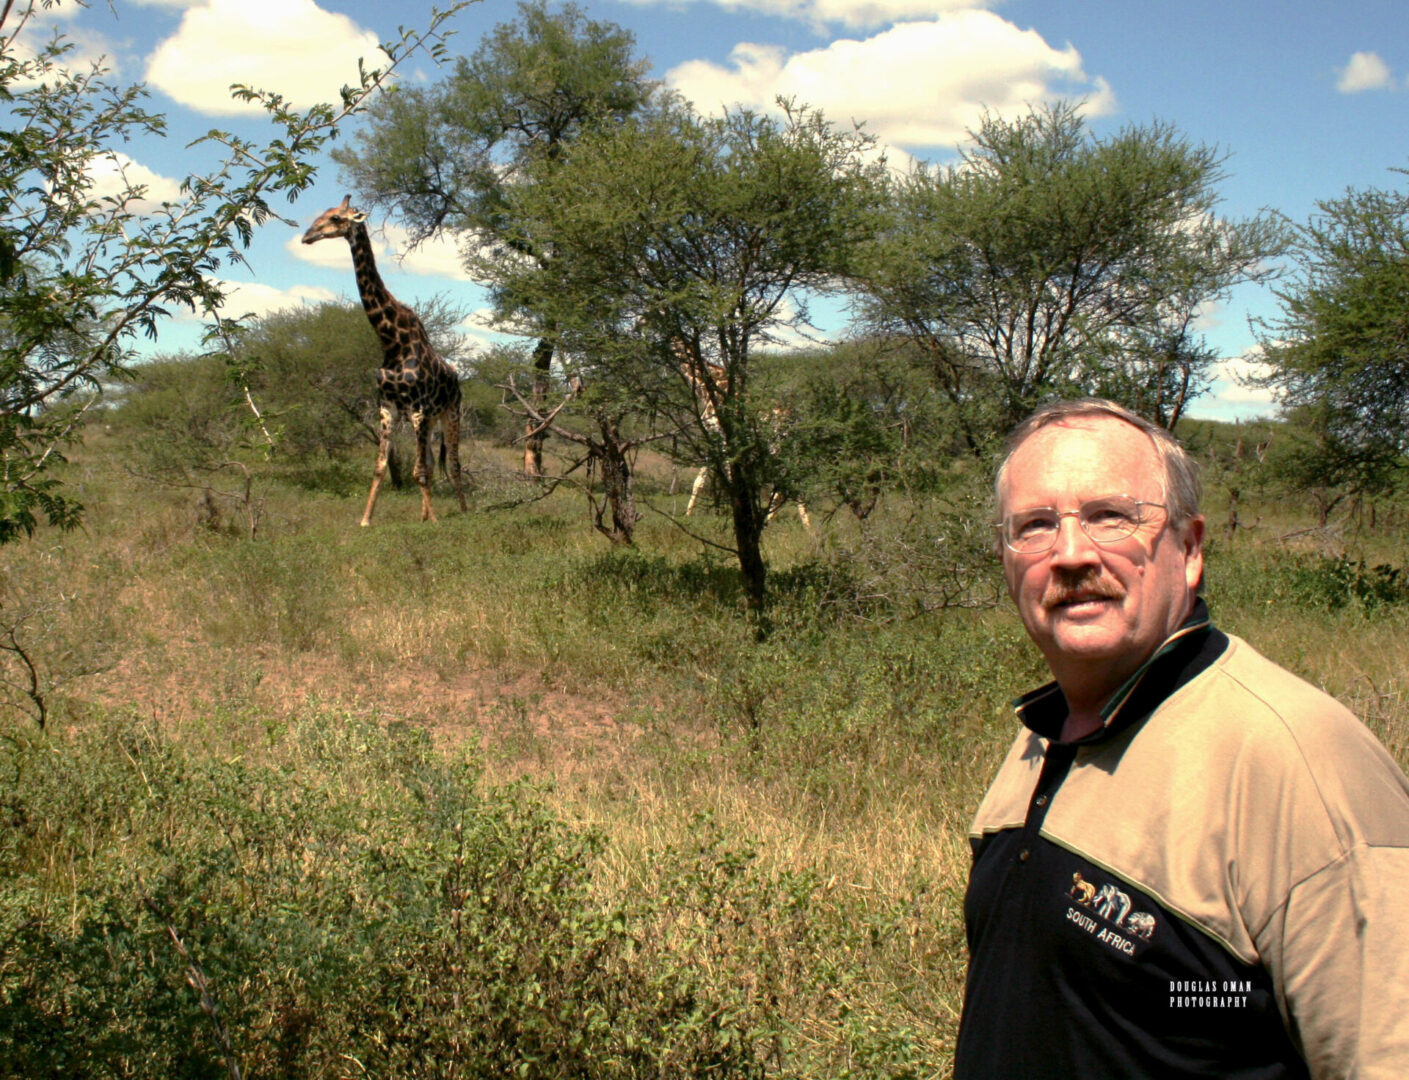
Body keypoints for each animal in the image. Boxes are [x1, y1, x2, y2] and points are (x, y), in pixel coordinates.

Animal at [302, 199, 467, 529]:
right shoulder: (387, 404)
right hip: (431, 418)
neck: (391, 341)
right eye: (322, 214)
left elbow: (419, 470)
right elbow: (381, 465)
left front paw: (437, 521)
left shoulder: (417, 408)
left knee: (454, 463)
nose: (306, 236)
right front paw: (366, 519)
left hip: (450, 411)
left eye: (335, 218)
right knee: (431, 462)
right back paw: (424, 515)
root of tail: (456, 378)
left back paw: (466, 511)